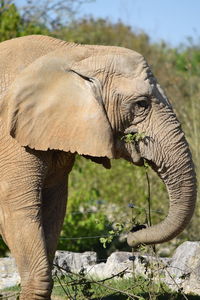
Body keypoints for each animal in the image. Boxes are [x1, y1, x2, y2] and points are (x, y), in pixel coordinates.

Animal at [0, 35, 197, 300]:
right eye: (141, 104)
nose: (133, 236)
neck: (75, 52)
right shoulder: (9, 136)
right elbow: (19, 208)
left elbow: (52, 207)